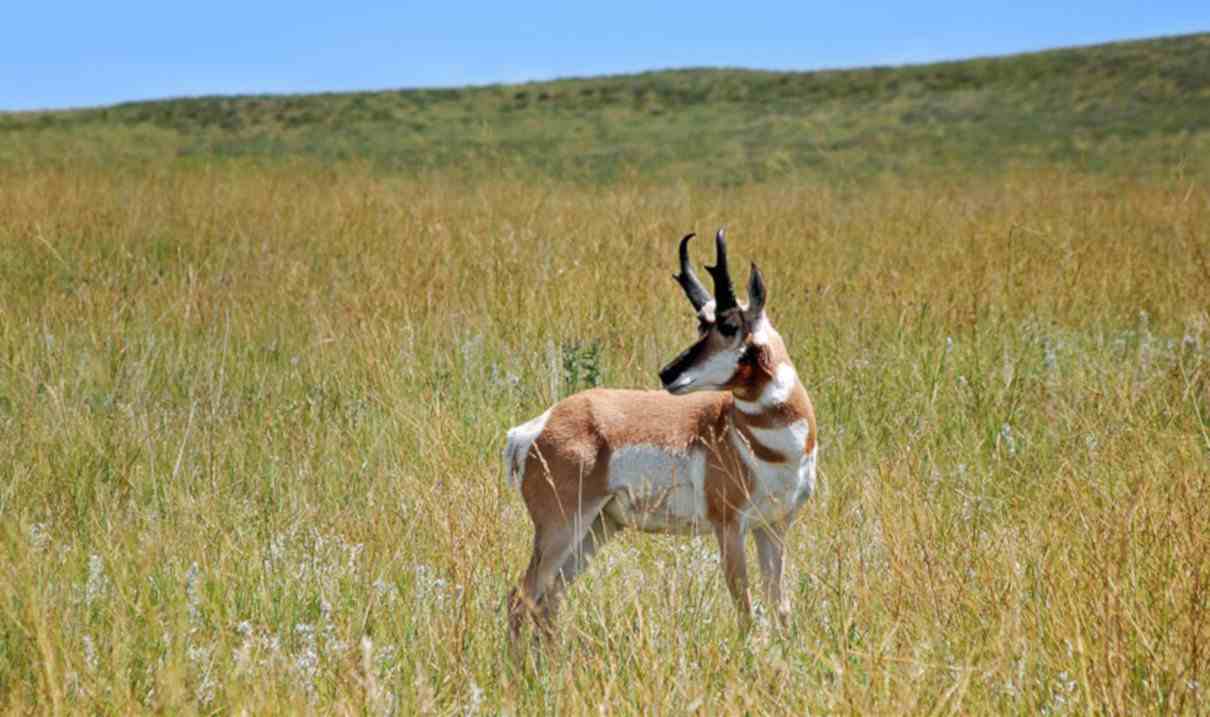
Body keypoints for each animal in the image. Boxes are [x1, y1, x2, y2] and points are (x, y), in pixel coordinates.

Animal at [505, 227, 817, 633]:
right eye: (701, 325)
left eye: (728, 326)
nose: (667, 373)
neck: (771, 447)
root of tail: (538, 426)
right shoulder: (730, 527)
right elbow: (745, 611)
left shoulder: (775, 526)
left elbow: (780, 610)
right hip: (561, 526)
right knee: (520, 599)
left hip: (596, 527)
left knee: (548, 601)